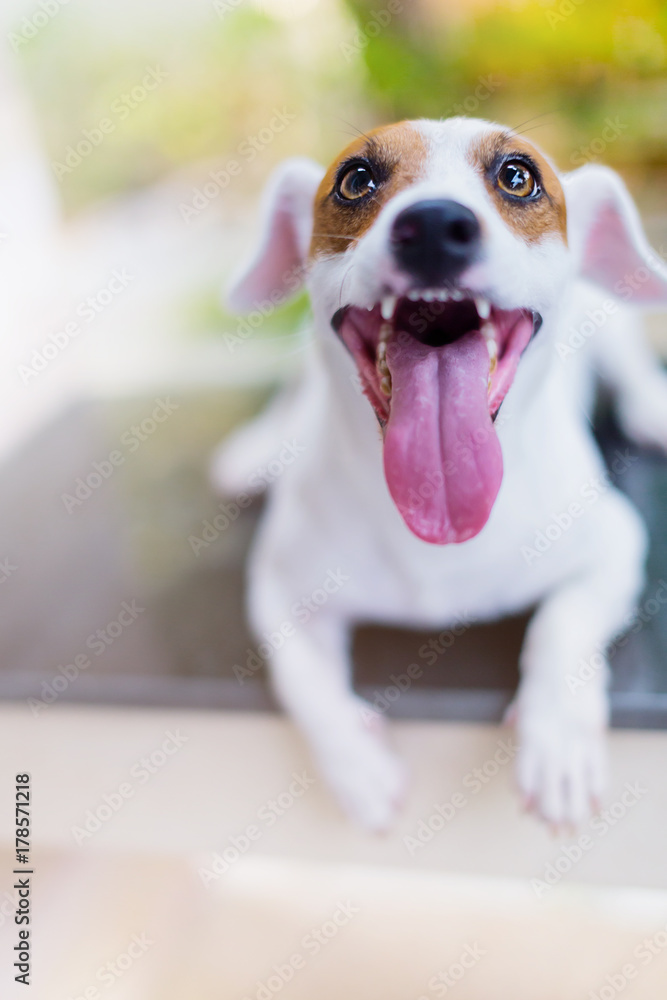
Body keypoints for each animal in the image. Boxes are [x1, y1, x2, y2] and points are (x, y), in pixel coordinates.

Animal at [213, 121, 667, 832]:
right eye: (355, 179)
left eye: (518, 176)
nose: (432, 224)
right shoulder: (278, 592)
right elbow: (306, 685)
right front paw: (356, 762)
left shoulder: (617, 545)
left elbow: (563, 627)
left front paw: (559, 738)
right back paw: (261, 448)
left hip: (613, 322)